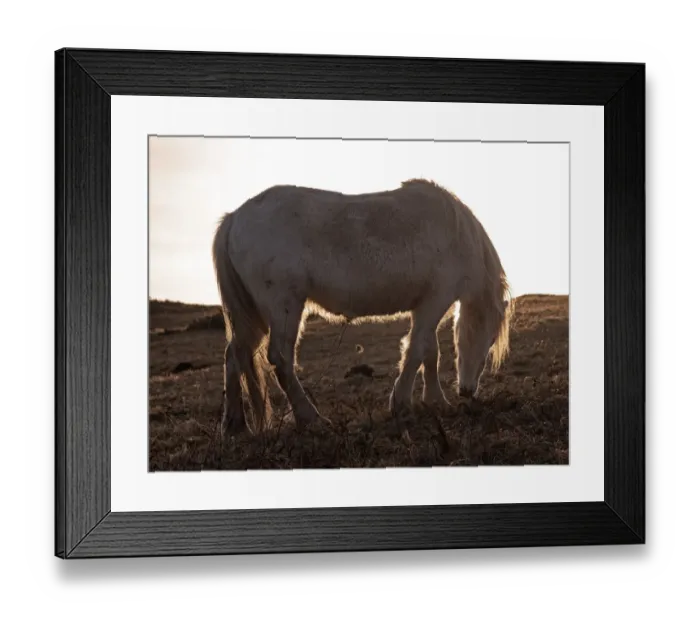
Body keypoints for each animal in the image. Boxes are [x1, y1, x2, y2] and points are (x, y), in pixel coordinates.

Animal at [211, 178, 513, 439]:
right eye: (489, 342)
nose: (467, 391)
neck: (456, 233)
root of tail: (234, 218)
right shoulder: (434, 301)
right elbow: (417, 350)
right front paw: (402, 403)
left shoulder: (427, 306)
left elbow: (429, 351)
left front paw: (435, 401)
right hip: (283, 307)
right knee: (280, 358)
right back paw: (312, 419)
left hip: (254, 316)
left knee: (235, 354)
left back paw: (235, 426)